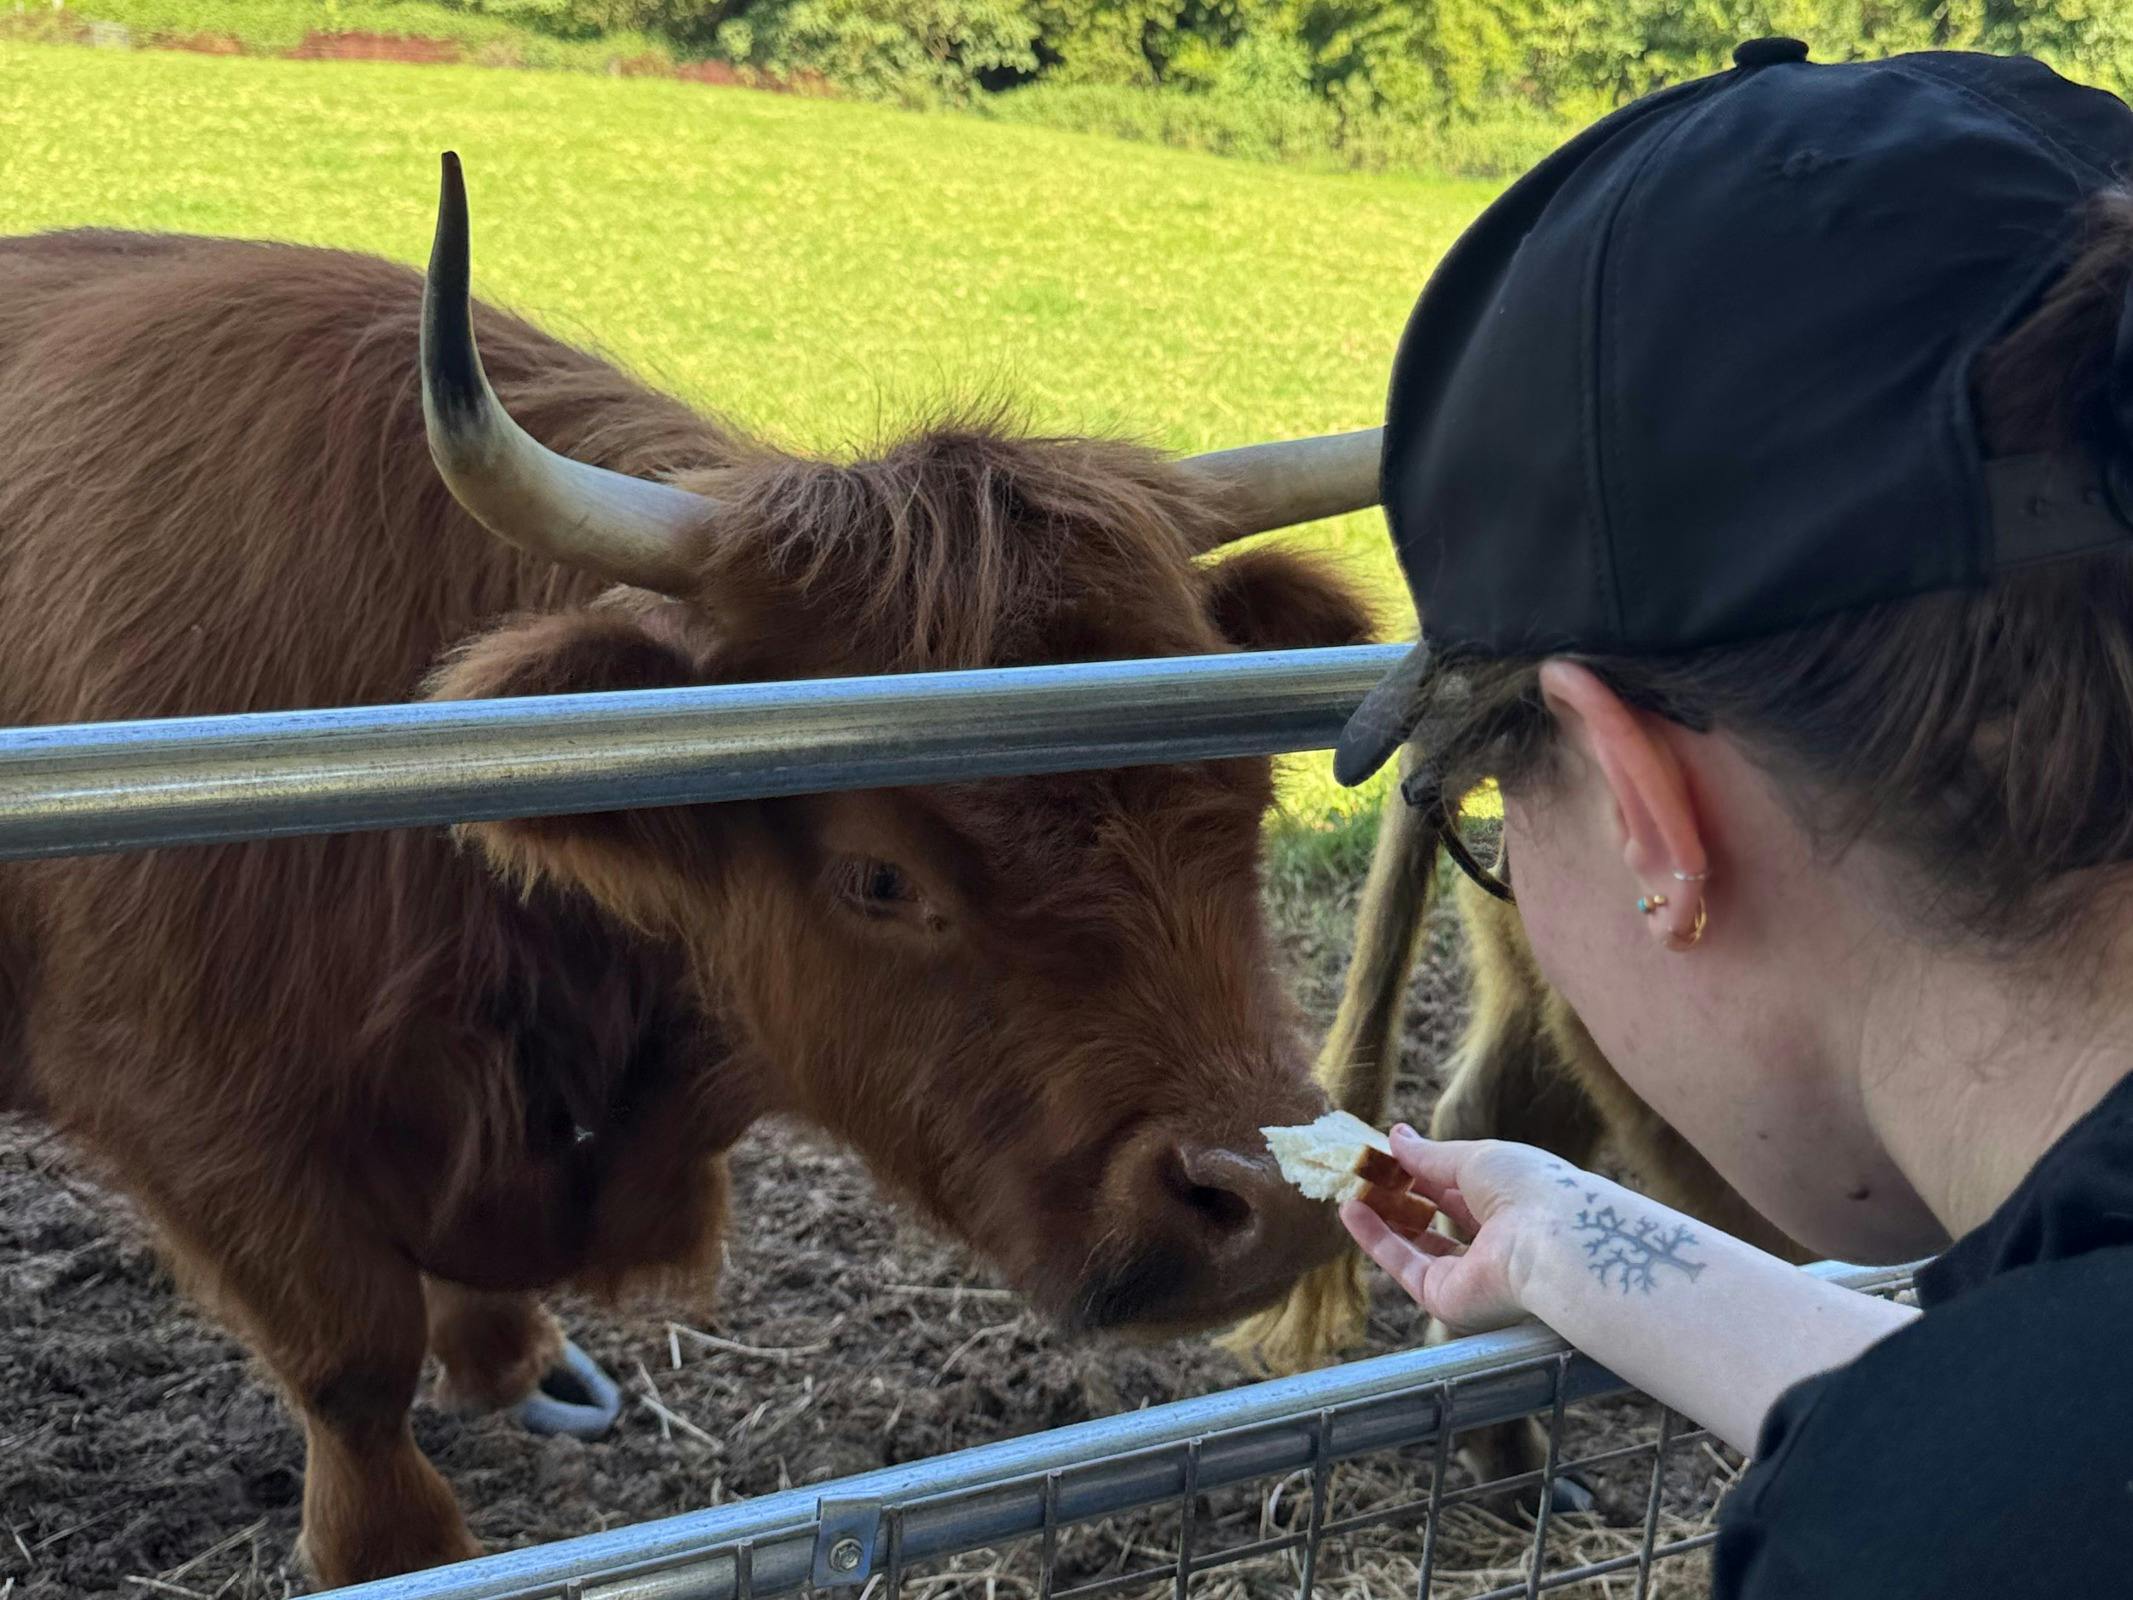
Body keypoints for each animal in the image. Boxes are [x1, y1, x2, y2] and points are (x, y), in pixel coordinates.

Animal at [0, 156, 1390, 1586]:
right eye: (880, 879)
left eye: (1248, 793)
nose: (1273, 1199)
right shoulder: (199, 1122)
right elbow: (354, 1362)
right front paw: (395, 1541)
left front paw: (513, 1361)